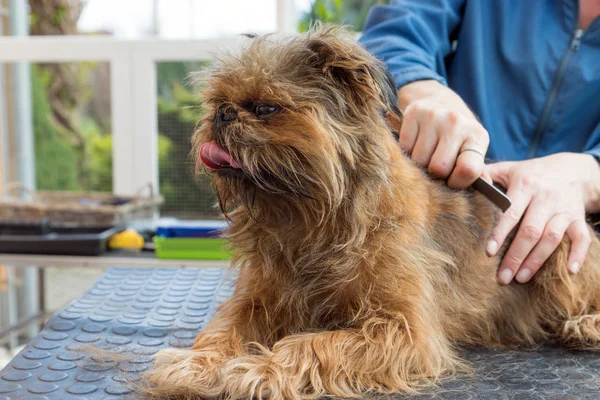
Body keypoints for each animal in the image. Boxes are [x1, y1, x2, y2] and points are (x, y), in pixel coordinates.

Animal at [144, 25, 600, 400]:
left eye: (266, 109)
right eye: (217, 103)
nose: (223, 114)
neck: (310, 215)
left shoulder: (404, 332)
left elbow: (313, 343)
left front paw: (262, 369)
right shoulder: (258, 301)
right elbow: (225, 328)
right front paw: (196, 363)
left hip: (560, 251)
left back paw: (586, 324)